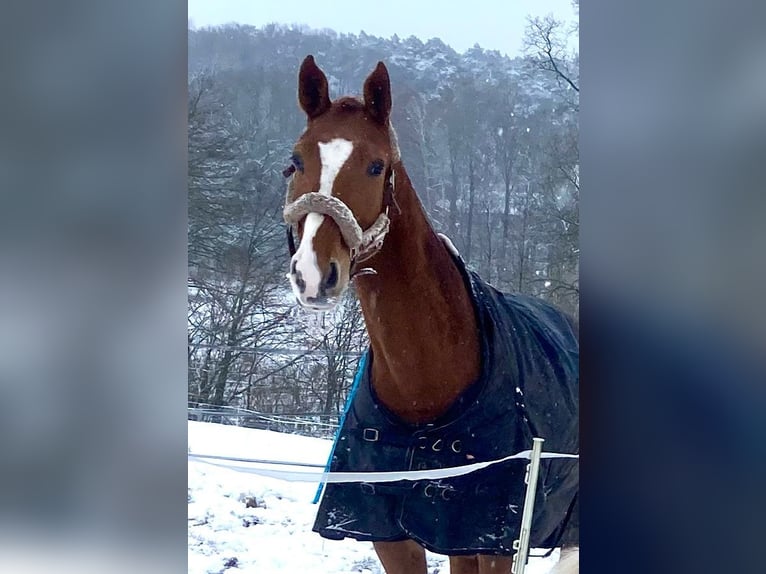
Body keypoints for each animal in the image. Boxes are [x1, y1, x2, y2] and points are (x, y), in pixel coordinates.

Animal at [284, 55, 580, 574]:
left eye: (377, 165)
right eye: (297, 161)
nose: (313, 274)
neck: (422, 393)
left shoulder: (490, 543)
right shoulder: (399, 536)